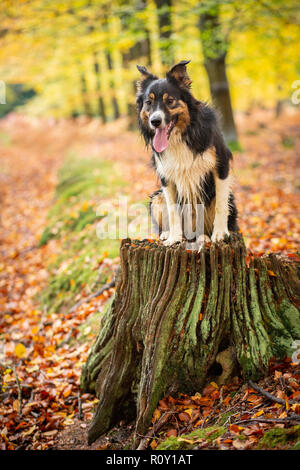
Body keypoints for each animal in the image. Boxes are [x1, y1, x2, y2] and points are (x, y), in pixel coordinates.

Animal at [137, 60, 239, 248]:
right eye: (148, 102)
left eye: (170, 100)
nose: (155, 121)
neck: (182, 135)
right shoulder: (166, 177)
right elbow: (172, 210)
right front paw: (174, 238)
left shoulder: (221, 165)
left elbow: (221, 205)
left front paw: (220, 233)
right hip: (156, 198)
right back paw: (168, 234)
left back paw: (205, 237)